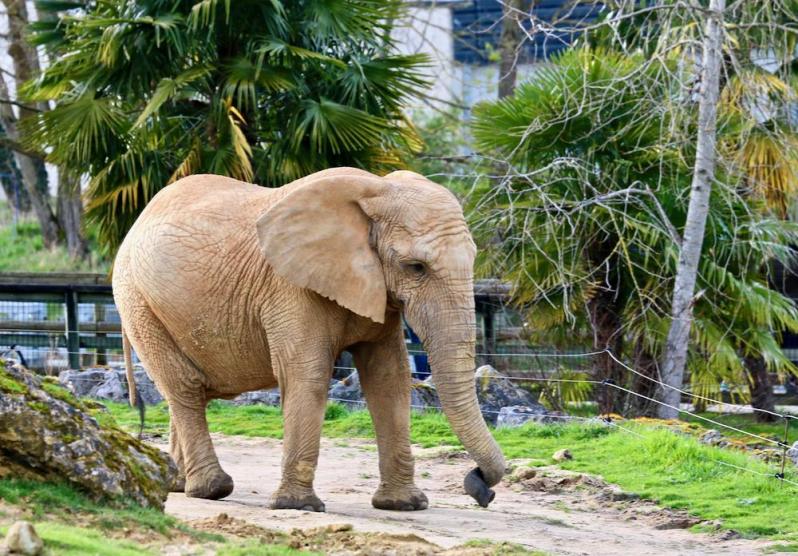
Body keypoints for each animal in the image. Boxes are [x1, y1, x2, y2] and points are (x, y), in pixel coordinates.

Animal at [114, 167, 506, 510]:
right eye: (416, 267)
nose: (481, 488)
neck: (376, 190)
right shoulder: (291, 288)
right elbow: (308, 374)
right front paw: (297, 506)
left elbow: (389, 379)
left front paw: (405, 505)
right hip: (137, 300)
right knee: (184, 387)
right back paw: (211, 489)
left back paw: (177, 484)